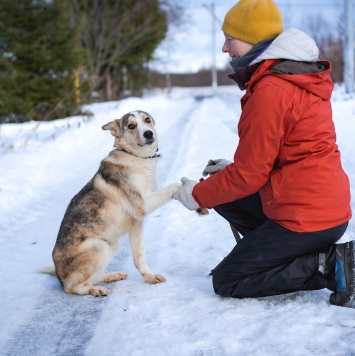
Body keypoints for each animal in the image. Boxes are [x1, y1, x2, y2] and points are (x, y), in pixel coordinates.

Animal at [41, 111, 184, 298]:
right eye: (131, 126)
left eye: (147, 120)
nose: (148, 134)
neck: (135, 157)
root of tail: (58, 274)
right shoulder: (143, 204)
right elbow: (173, 186)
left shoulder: (137, 224)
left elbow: (139, 255)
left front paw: (149, 277)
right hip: (100, 248)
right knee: (72, 287)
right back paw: (95, 289)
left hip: (112, 244)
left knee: (90, 278)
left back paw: (111, 276)